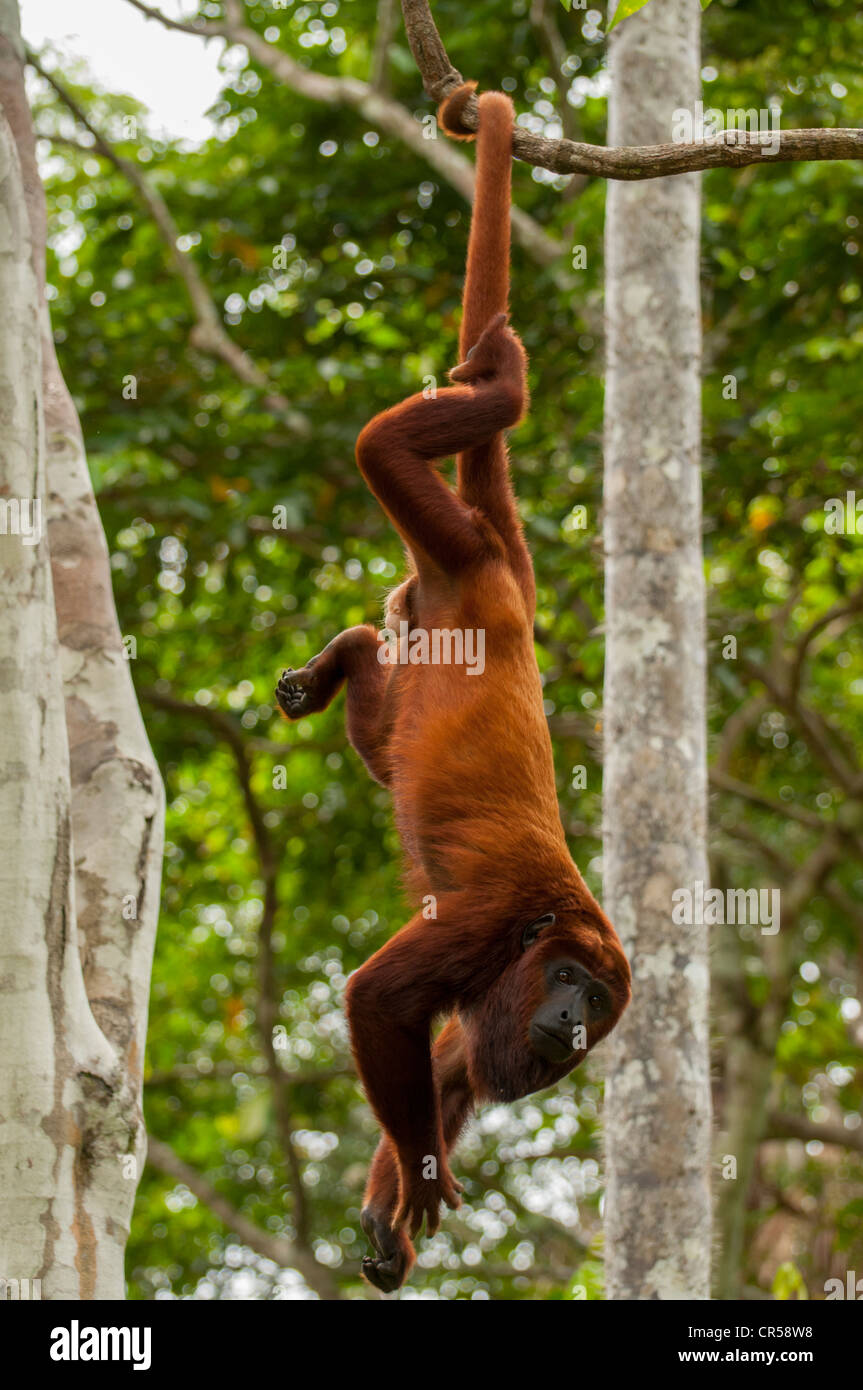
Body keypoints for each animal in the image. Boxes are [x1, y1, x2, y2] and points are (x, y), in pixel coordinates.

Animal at [279, 84, 628, 1289]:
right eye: (570, 983)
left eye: (599, 1005)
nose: (572, 1024)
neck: (550, 931)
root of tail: (506, 584)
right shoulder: (489, 926)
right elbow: (377, 1001)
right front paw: (423, 1180)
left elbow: (453, 1066)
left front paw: (389, 1214)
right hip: (452, 539)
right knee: (387, 444)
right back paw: (505, 378)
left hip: (434, 612)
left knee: (385, 728)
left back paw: (345, 654)